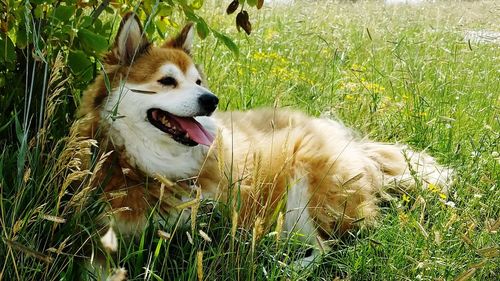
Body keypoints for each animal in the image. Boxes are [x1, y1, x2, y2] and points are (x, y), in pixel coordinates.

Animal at [75, 12, 454, 276]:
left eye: (197, 81)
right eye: (167, 81)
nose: (211, 100)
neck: (149, 167)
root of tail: (353, 145)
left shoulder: (203, 223)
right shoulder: (99, 232)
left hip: (302, 187)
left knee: (327, 247)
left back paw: (282, 265)